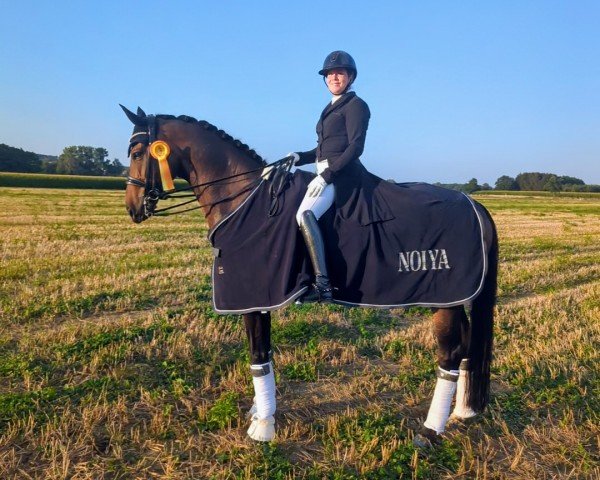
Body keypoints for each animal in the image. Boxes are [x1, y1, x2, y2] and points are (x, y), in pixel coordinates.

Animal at [120, 106, 496, 446]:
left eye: (138, 152)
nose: (133, 208)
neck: (244, 200)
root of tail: (473, 204)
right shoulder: (259, 297)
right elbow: (264, 354)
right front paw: (260, 413)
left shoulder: (251, 296)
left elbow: (258, 355)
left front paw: (263, 428)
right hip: (455, 296)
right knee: (466, 342)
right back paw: (462, 411)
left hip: (444, 297)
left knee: (449, 353)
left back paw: (430, 431)